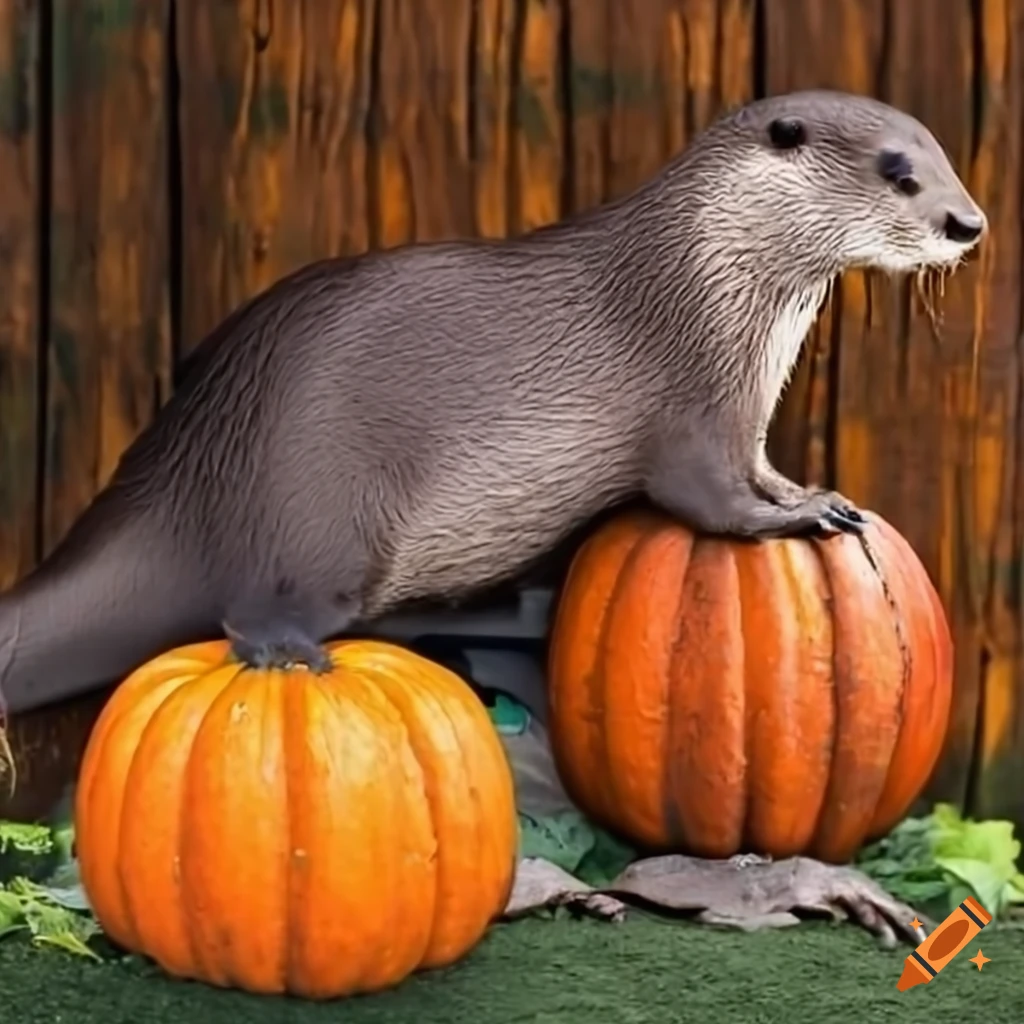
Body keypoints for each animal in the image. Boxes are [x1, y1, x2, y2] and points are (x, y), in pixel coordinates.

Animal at [0, 90, 986, 715]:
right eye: (898, 172)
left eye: (946, 157)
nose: (969, 223)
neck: (702, 283)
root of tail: (197, 457)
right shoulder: (694, 407)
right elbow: (709, 501)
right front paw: (800, 516)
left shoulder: (746, 412)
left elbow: (761, 470)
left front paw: (811, 490)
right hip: (321, 507)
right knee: (252, 610)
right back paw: (299, 655)